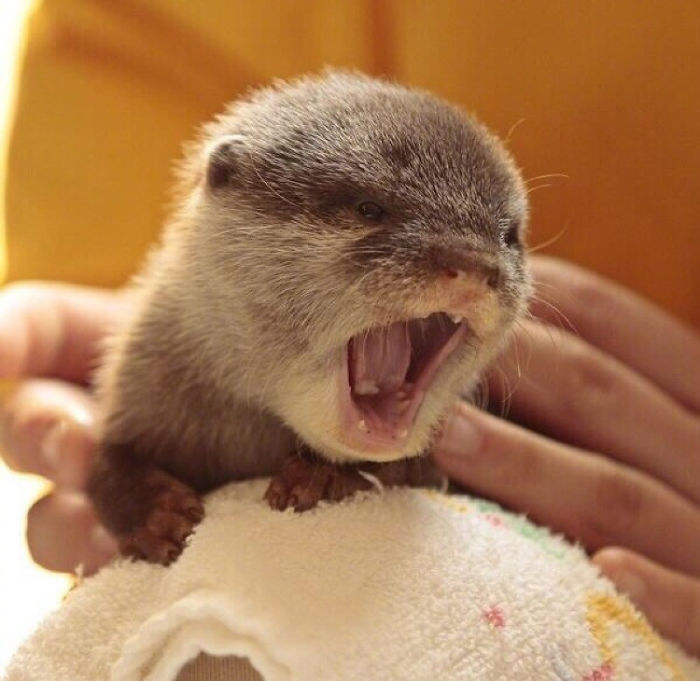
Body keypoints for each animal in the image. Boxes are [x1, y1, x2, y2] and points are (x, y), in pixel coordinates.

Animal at [88, 71, 531, 564]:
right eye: (368, 208)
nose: (473, 262)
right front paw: (155, 515)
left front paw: (321, 476)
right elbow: (102, 465)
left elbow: (418, 475)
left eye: (508, 235)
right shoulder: (141, 382)